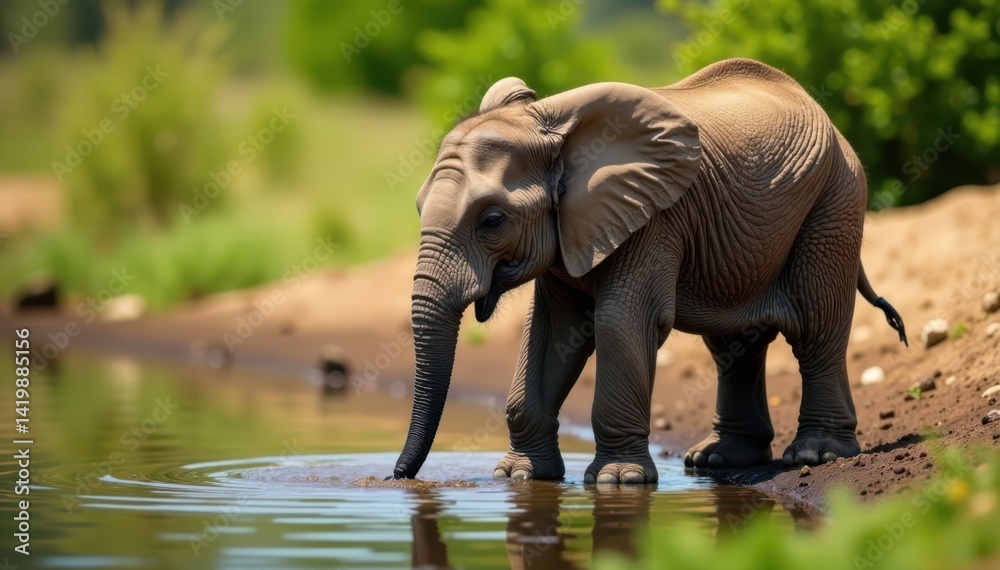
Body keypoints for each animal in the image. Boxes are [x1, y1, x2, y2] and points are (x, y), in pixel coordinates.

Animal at [392, 58, 907, 484]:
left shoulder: (653, 219)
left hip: (835, 197)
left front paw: (618, 482)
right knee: (735, 346)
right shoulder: (570, 234)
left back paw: (816, 455)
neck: (549, 123)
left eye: (493, 220)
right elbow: (552, 334)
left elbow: (620, 323)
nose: (398, 477)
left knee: (815, 328)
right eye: (416, 208)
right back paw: (717, 460)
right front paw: (520, 477)